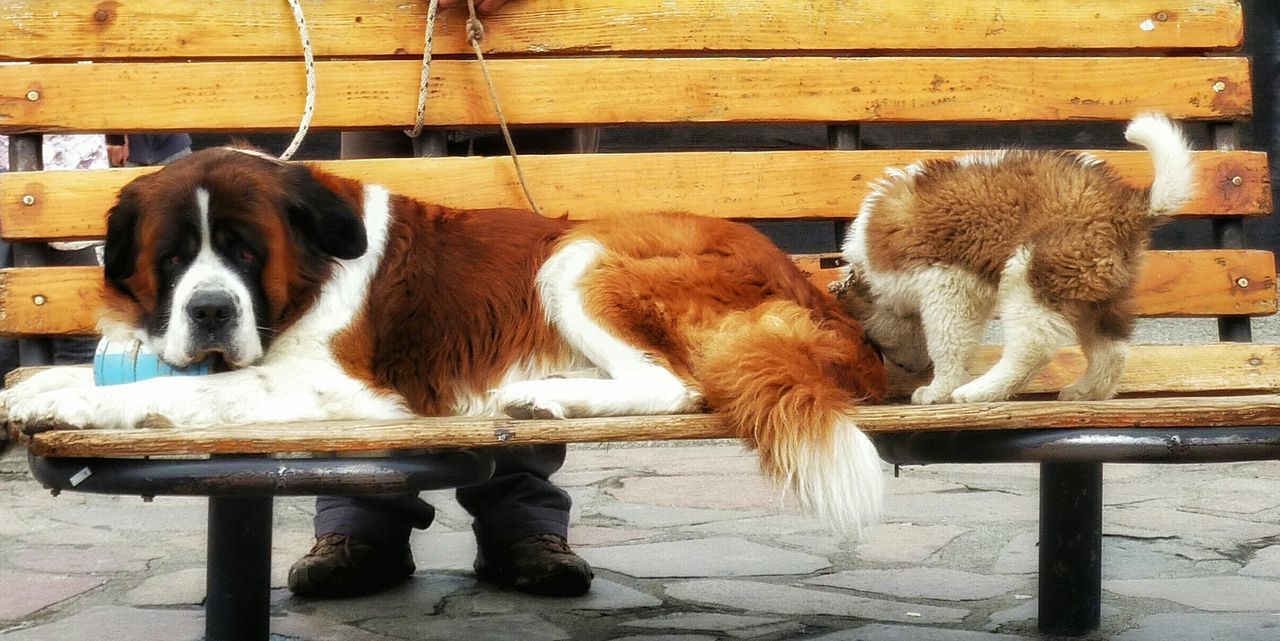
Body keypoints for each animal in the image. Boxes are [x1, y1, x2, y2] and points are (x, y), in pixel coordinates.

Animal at [5, 147, 890, 532]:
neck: (313, 269)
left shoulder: (336, 385)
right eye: (174, 257)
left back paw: (542, 397)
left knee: (676, 385)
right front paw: (39, 388)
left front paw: (81, 406)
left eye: (247, 253)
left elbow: (184, 387)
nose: (214, 310)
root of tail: (816, 293)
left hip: (578, 254)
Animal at [844, 113, 1192, 404]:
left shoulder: (946, 282)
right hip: (1098, 290)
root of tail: (1128, 207)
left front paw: (937, 390)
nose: (916, 369)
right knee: (1113, 350)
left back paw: (978, 392)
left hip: (1034, 273)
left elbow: (949, 343)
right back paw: (1085, 392)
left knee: (1032, 348)